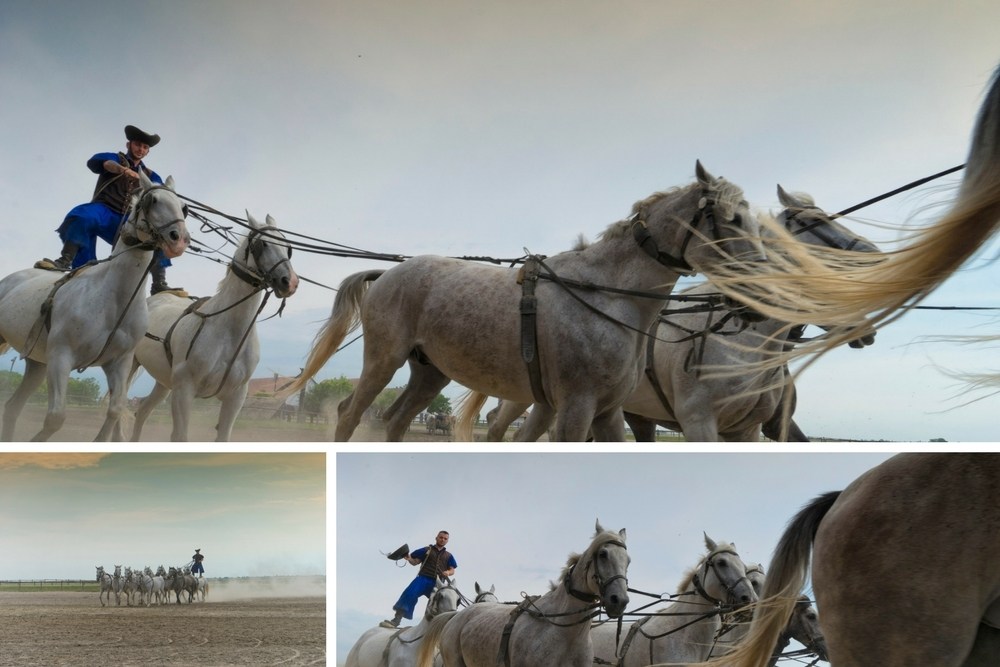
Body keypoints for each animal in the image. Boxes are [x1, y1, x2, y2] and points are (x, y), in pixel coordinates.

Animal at [0, 171, 190, 444]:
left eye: (183, 207)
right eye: (152, 200)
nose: (179, 240)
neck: (113, 301)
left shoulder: (119, 362)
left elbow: (115, 410)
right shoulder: (61, 357)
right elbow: (56, 418)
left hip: (37, 363)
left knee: (12, 408)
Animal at [127, 214, 296, 440]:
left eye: (288, 247)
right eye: (263, 244)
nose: (289, 282)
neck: (229, 332)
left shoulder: (235, 397)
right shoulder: (184, 391)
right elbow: (180, 436)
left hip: (163, 382)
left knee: (143, 410)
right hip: (130, 364)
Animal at [290, 162, 764, 440]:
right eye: (734, 220)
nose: (761, 295)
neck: (608, 294)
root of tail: (389, 273)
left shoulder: (608, 412)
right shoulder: (576, 407)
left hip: (430, 374)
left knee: (397, 420)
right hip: (383, 359)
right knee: (350, 414)